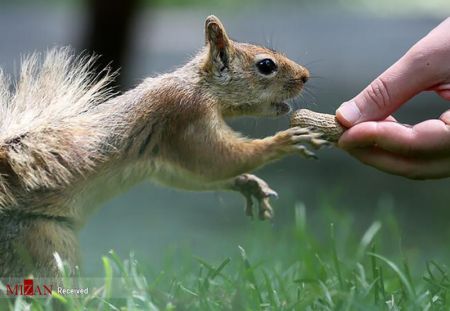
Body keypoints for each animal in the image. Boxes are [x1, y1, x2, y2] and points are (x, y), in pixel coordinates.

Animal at [0, 15, 326, 276]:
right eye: (266, 65)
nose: (306, 76)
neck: (201, 86)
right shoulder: (186, 116)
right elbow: (216, 160)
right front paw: (282, 142)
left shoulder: (163, 155)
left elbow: (185, 174)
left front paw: (246, 183)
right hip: (44, 242)